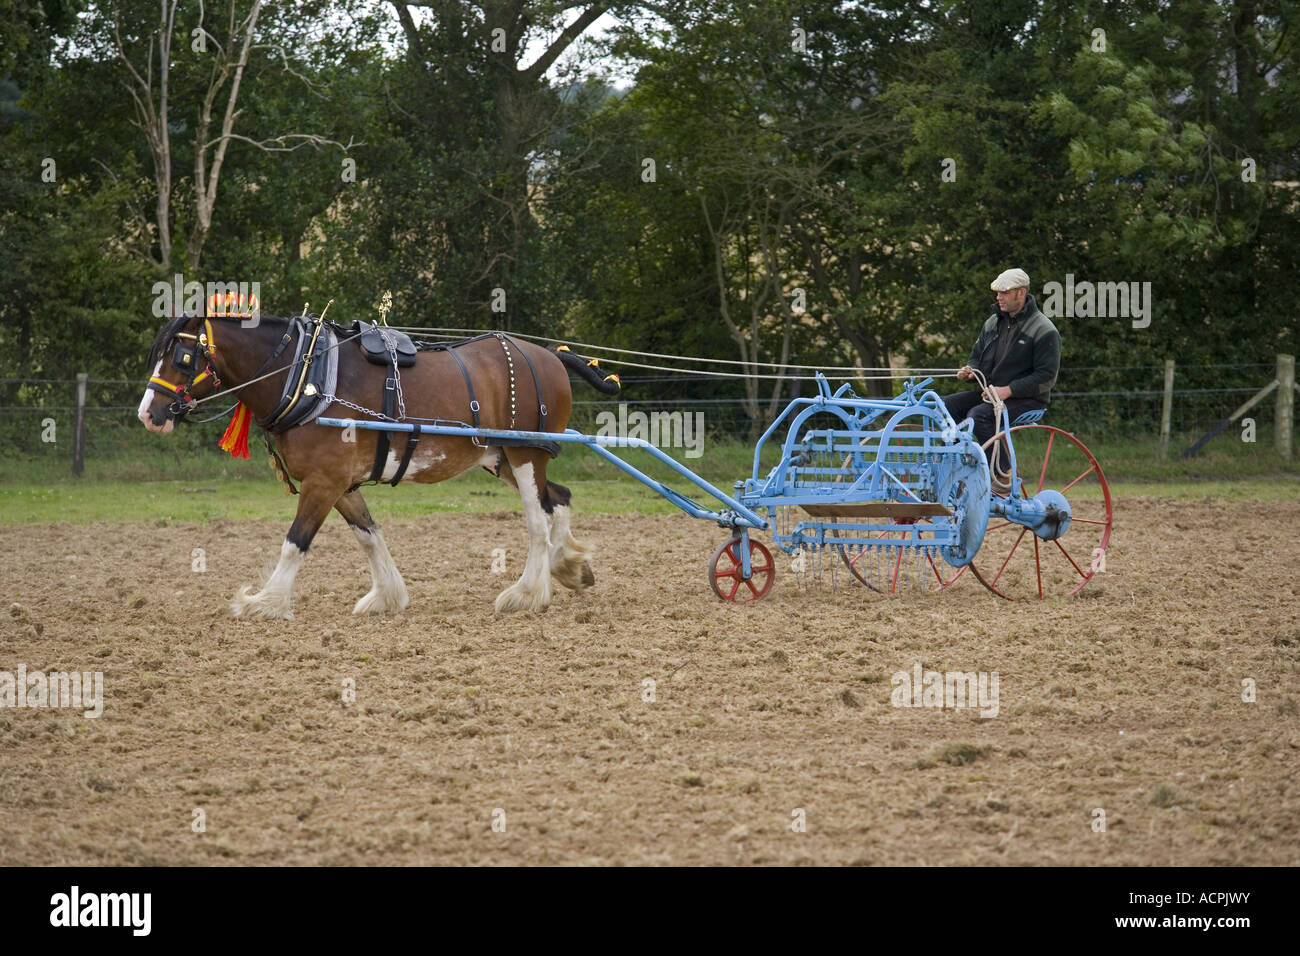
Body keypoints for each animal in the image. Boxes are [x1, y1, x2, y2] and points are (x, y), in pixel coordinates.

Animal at [136, 311, 620, 619]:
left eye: (181, 358)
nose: (148, 414)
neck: (308, 376)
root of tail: (552, 356)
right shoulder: (341, 483)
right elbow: (369, 537)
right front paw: (388, 597)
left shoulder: (324, 482)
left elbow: (295, 542)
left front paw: (264, 602)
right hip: (502, 458)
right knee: (558, 498)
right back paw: (569, 565)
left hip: (523, 455)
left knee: (538, 521)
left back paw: (526, 594)